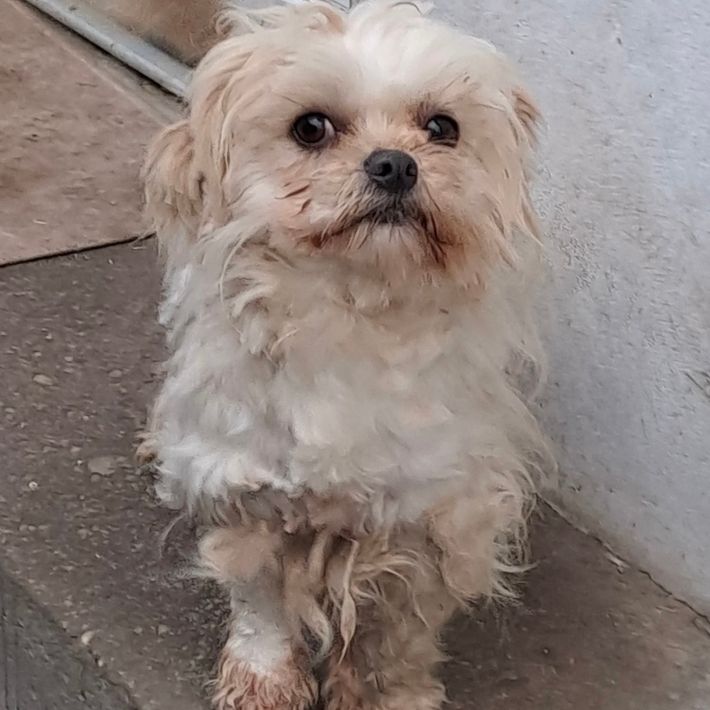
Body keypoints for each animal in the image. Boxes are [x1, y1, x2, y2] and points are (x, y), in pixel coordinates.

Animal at [141, 2, 550, 708]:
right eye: (311, 128)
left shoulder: (431, 520)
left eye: (441, 128)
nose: (394, 164)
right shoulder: (243, 493)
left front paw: (393, 695)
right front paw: (265, 680)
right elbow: (262, 608)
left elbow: (398, 634)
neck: (350, 315)